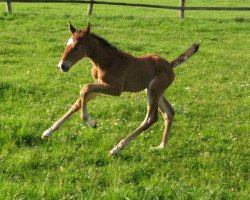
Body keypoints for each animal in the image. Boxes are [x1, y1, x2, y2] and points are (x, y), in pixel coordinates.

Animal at [41, 22, 199, 156]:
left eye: (76, 47)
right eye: (66, 45)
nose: (62, 66)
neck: (106, 61)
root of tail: (170, 65)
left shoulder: (116, 89)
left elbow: (84, 88)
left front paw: (91, 122)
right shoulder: (99, 84)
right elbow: (78, 102)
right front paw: (48, 132)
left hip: (154, 91)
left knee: (150, 119)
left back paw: (116, 148)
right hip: (154, 91)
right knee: (169, 113)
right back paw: (161, 146)